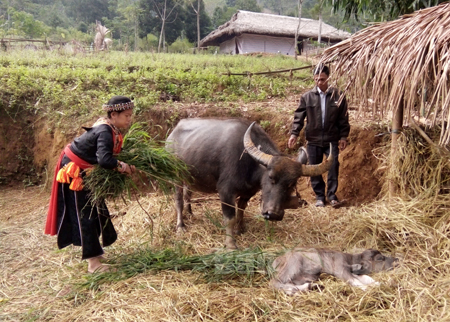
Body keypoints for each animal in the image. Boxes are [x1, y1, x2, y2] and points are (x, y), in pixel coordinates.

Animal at [165, 119, 330, 249]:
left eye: (292, 183)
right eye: (271, 177)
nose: (273, 214)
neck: (248, 162)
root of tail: (172, 134)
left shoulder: (248, 192)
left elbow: (241, 209)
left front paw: (241, 228)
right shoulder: (225, 191)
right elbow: (229, 218)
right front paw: (231, 244)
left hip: (189, 177)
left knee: (188, 193)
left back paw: (190, 213)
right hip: (175, 176)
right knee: (178, 199)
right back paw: (180, 226)